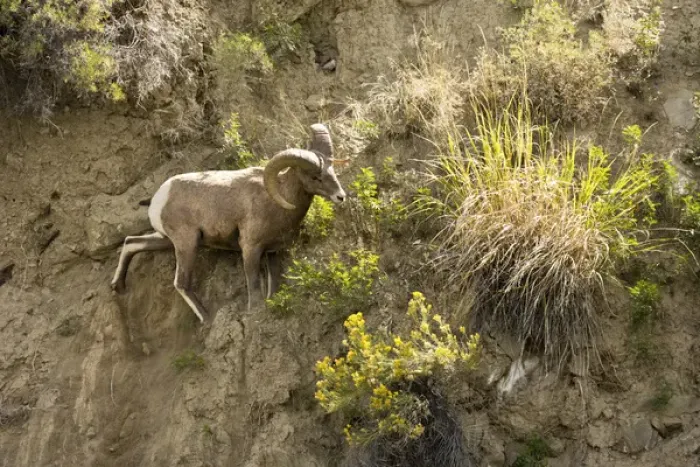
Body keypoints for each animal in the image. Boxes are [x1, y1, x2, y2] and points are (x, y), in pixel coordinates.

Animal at [110, 123, 347, 322]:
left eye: (332, 171)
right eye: (315, 177)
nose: (341, 196)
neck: (275, 199)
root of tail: (158, 198)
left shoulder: (272, 251)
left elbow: (273, 285)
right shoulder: (250, 247)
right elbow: (254, 284)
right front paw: (254, 313)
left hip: (166, 240)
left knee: (131, 242)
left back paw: (118, 286)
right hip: (187, 243)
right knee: (181, 282)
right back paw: (206, 318)